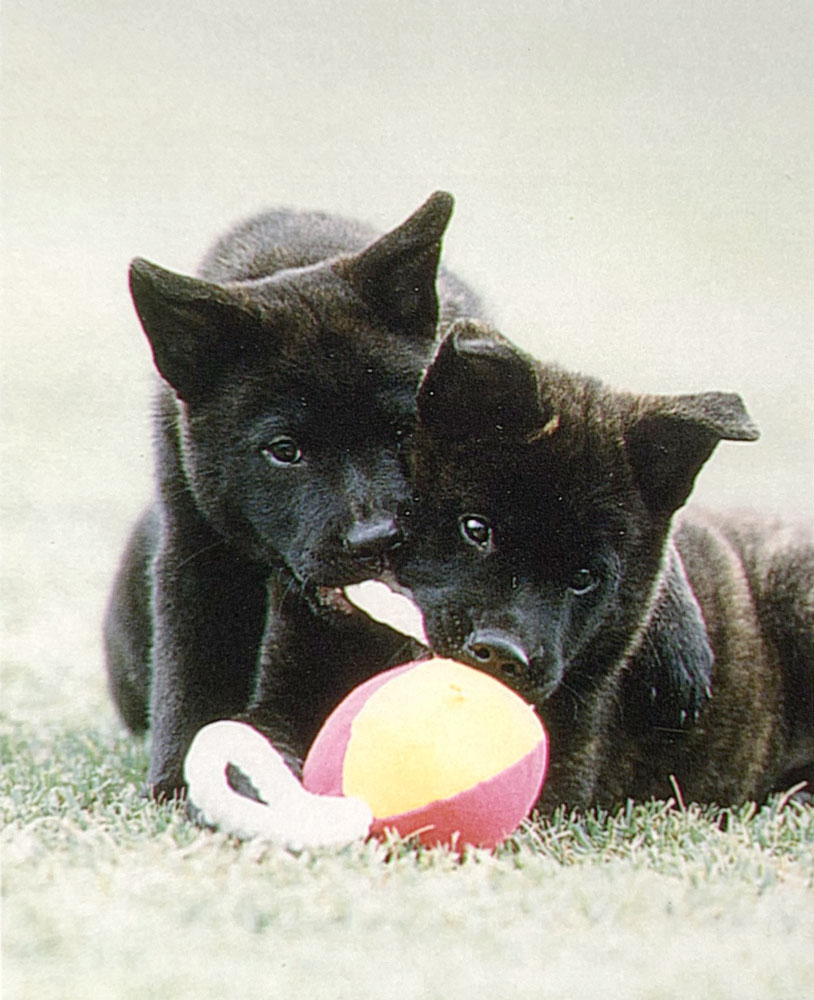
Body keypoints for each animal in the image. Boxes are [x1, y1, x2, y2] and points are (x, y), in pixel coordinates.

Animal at [104, 191, 482, 796]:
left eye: (404, 431)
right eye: (285, 450)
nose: (376, 540)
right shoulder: (197, 552)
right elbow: (193, 678)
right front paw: (178, 782)